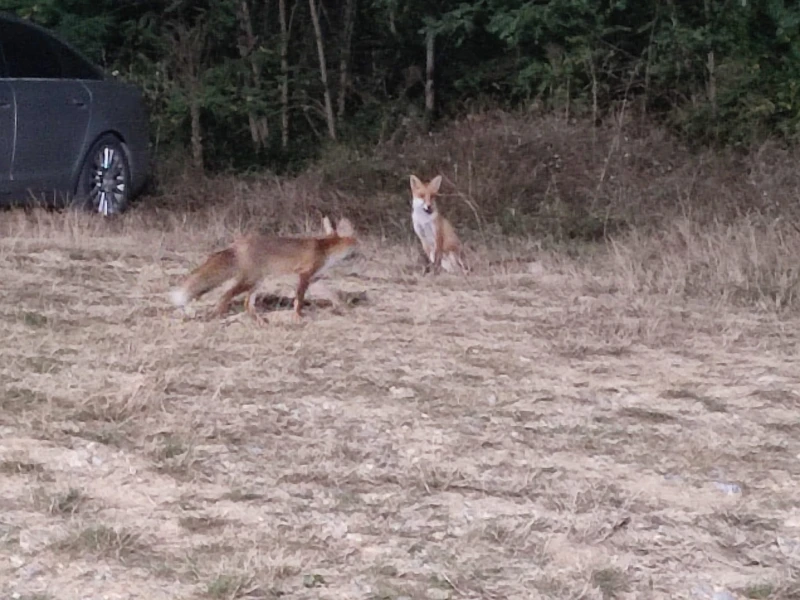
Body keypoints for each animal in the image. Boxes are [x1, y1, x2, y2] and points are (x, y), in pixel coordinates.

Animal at [171, 217, 360, 324]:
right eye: (357, 241)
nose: (362, 249)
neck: (325, 251)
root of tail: (237, 245)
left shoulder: (314, 279)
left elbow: (333, 295)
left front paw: (345, 310)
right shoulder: (304, 275)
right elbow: (298, 301)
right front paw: (297, 318)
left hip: (257, 283)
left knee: (247, 304)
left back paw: (260, 322)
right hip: (250, 281)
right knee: (226, 296)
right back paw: (218, 317)